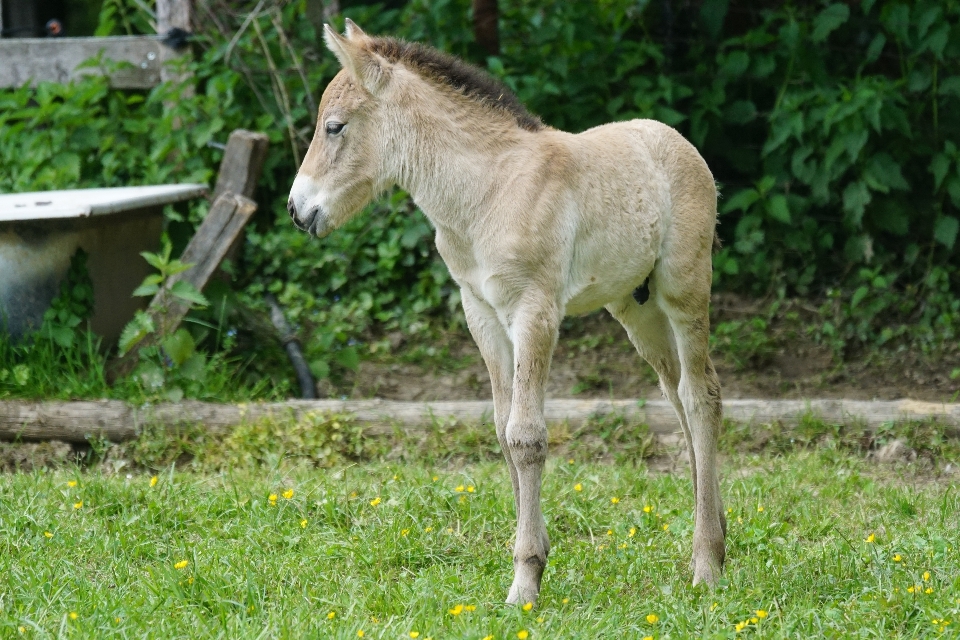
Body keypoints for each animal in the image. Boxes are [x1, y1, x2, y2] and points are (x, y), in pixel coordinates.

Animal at [288, 21, 724, 604]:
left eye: (334, 127)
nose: (297, 209)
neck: (486, 193)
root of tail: (680, 142)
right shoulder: (482, 313)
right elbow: (501, 429)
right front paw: (529, 565)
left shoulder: (534, 311)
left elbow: (526, 437)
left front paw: (525, 583)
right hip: (636, 310)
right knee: (678, 395)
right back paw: (717, 538)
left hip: (683, 290)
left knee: (700, 397)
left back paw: (706, 565)